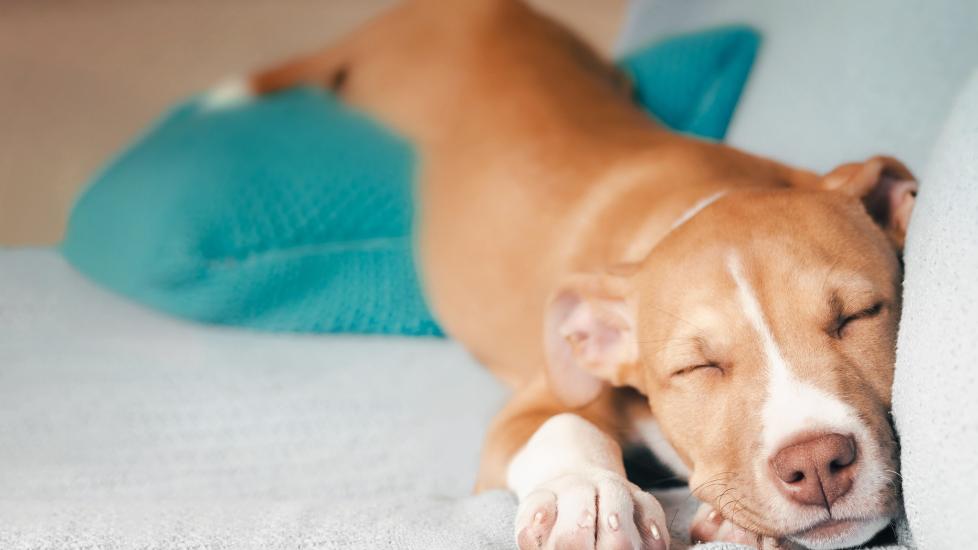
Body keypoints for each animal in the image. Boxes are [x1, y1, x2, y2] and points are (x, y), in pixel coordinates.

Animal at [206, 2, 916, 548]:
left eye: (859, 316)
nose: (816, 463)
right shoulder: (529, 405)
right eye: (697, 368)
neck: (695, 200)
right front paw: (592, 497)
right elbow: (565, 424)